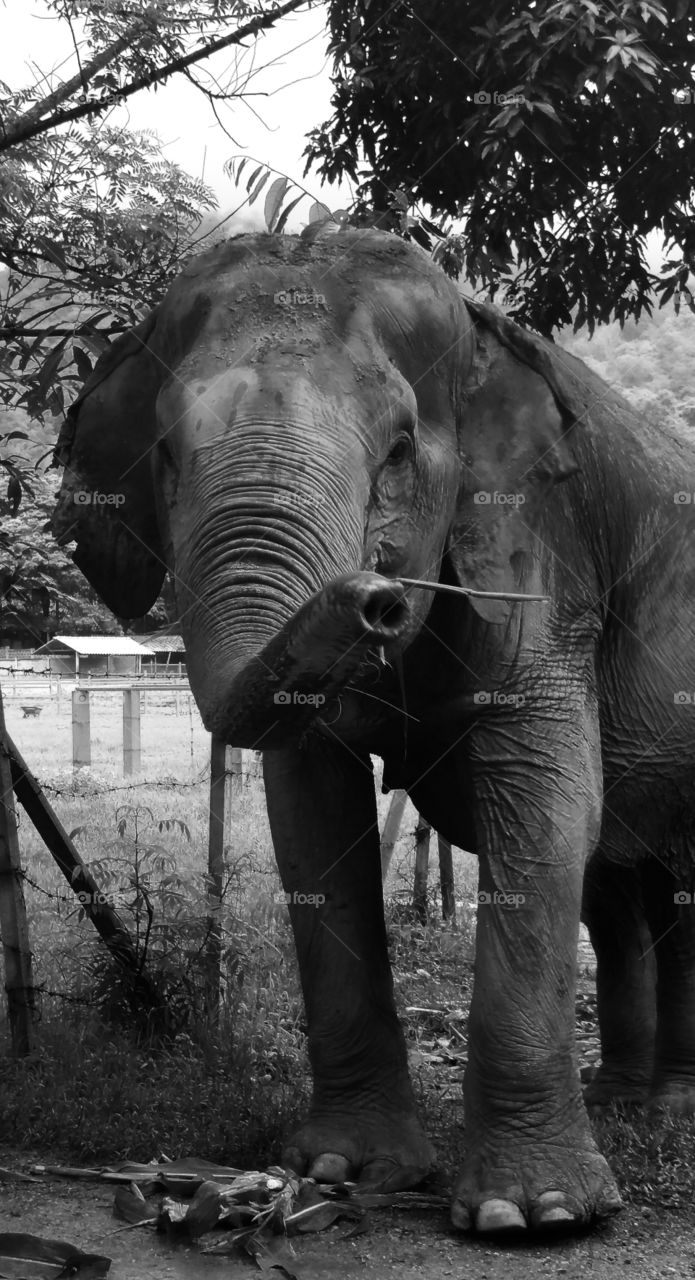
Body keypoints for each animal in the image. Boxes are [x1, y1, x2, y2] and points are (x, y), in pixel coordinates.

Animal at [52, 226, 695, 1237]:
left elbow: (543, 788)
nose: (376, 598)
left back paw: (665, 1111)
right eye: (165, 455)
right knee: (623, 888)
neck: (476, 325)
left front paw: (535, 1214)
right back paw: (625, 1101)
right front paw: (341, 1170)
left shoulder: (543, 552)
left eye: (398, 450)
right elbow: (313, 809)